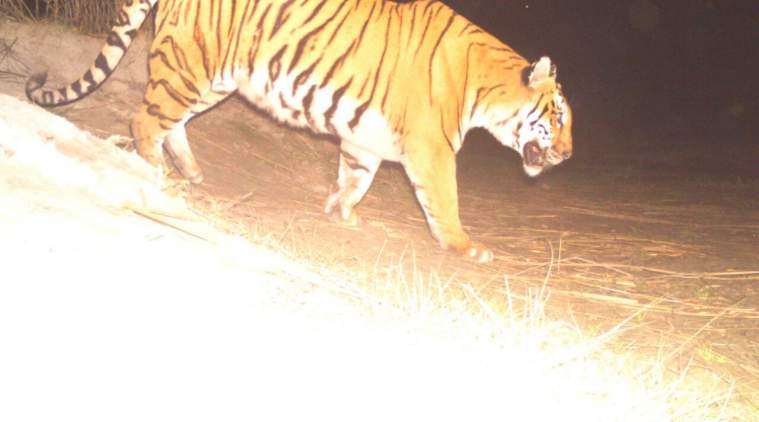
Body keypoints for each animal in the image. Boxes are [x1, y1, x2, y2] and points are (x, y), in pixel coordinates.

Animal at [28, 0, 576, 262]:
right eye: (558, 119)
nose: (570, 156)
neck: (485, 87)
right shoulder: (433, 149)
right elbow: (445, 202)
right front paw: (465, 247)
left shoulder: (362, 139)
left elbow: (356, 178)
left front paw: (342, 214)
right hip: (191, 62)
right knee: (146, 119)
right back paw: (154, 171)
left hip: (213, 77)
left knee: (171, 120)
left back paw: (189, 169)